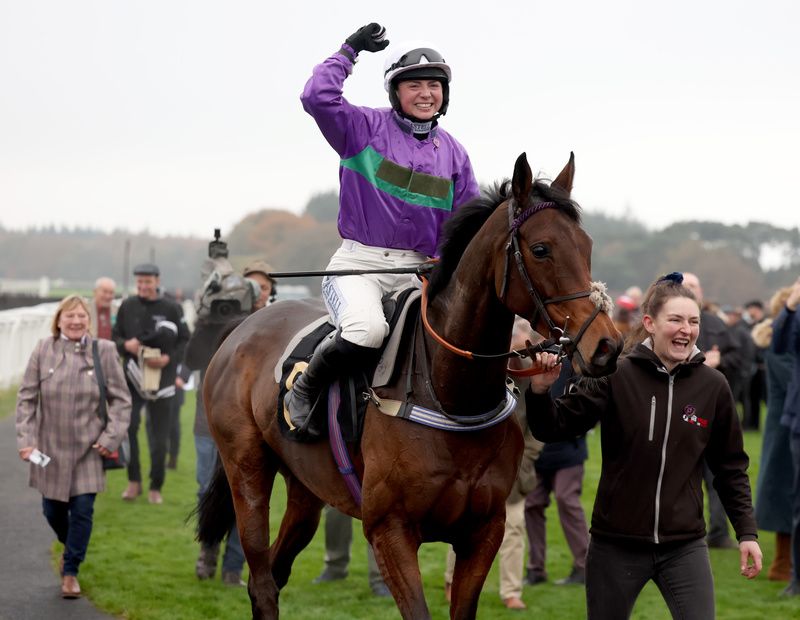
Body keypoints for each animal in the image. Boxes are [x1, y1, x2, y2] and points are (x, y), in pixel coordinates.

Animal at [197, 151, 620, 620]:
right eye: (542, 249)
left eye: (587, 246)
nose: (607, 345)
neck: (451, 395)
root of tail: (242, 326)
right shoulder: (390, 531)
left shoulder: (483, 531)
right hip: (246, 469)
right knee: (262, 578)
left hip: (306, 488)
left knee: (273, 573)